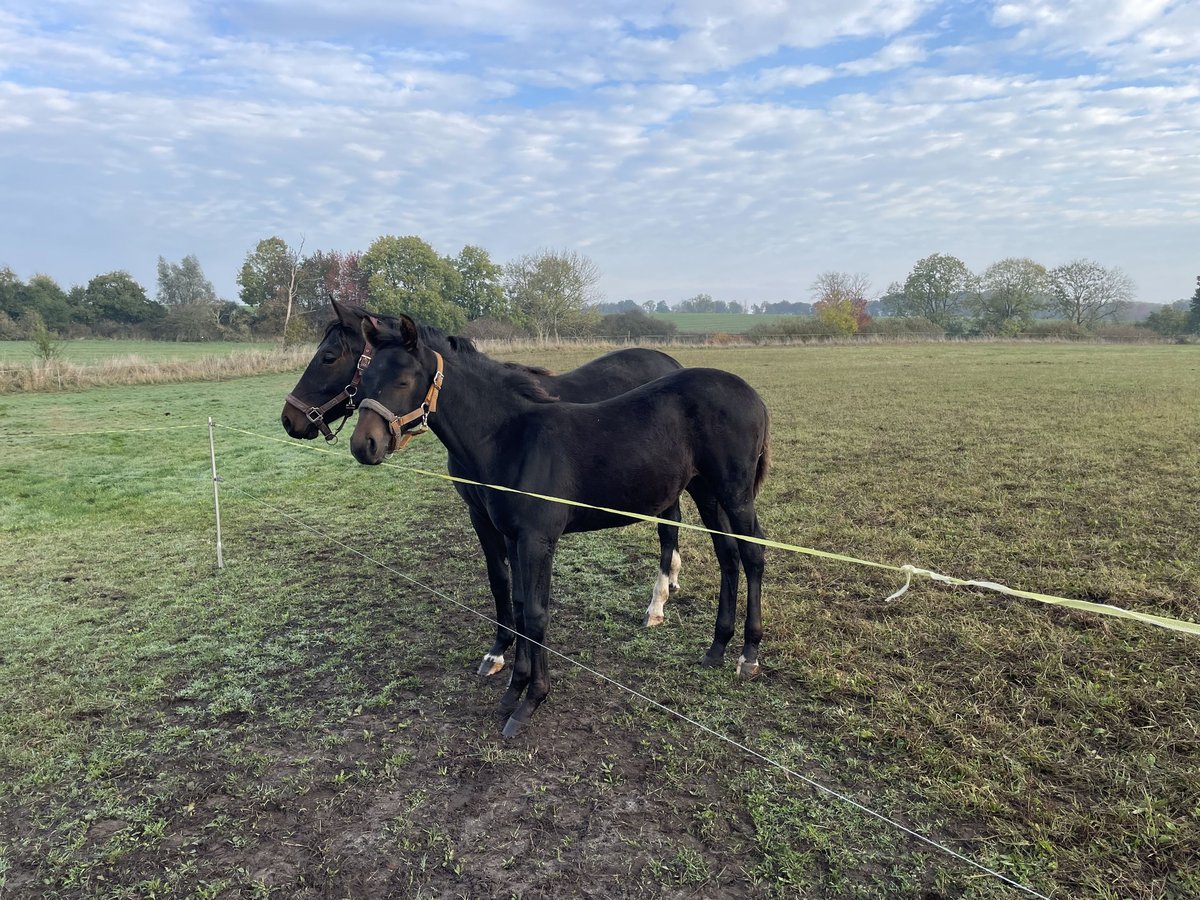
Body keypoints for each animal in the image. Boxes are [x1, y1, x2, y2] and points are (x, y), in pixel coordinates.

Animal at [282, 301, 691, 676]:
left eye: (329, 357)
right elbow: (502, 581)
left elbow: (509, 584)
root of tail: (669, 362)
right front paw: (499, 650)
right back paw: (671, 579)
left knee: (667, 530)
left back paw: (656, 604)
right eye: (366, 379)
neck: (496, 432)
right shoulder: (483, 515)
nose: (290, 419)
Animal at [348, 314, 768, 734]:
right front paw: (513, 690)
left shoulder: (538, 540)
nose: (363, 445)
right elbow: (519, 605)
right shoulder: (512, 537)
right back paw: (716, 647)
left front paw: (531, 701)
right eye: (364, 381)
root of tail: (752, 394)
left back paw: (747, 654)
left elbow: (536, 615)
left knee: (752, 552)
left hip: (734, 492)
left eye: (404, 381)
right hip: (705, 489)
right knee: (727, 554)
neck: (511, 440)